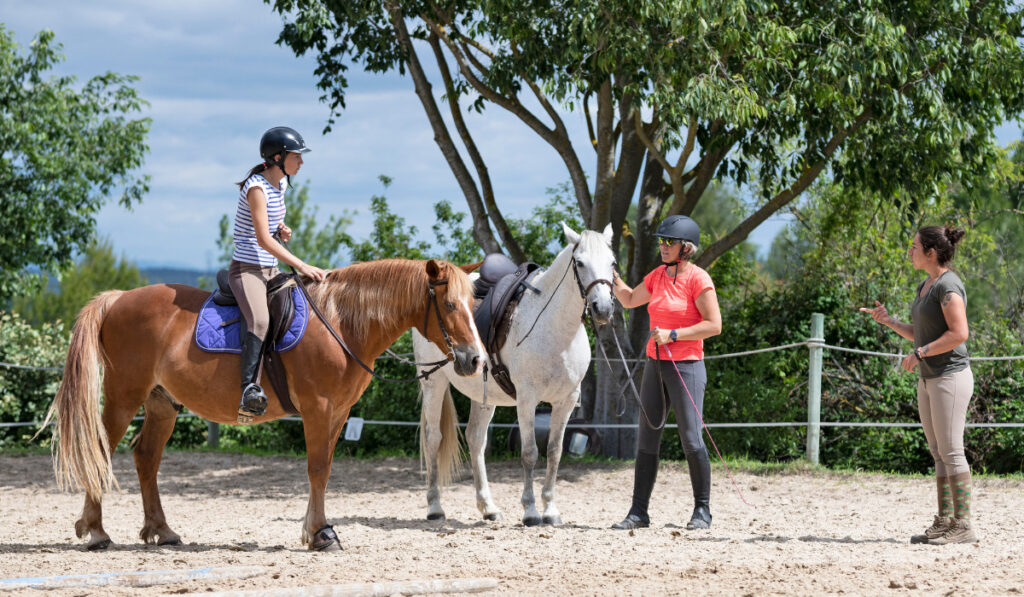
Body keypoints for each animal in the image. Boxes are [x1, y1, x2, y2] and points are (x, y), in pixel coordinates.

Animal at [41, 259, 481, 552]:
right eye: (450, 305)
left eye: (473, 305)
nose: (475, 360)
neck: (339, 322)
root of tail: (117, 300)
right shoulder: (319, 410)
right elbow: (317, 469)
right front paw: (321, 533)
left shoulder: (338, 414)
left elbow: (324, 469)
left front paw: (312, 529)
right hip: (123, 396)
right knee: (101, 452)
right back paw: (96, 531)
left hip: (162, 403)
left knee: (146, 457)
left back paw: (161, 531)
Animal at [409, 222, 614, 524]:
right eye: (579, 262)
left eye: (612, 263)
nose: (603, 308)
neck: (555, 329)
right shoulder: (527, 399)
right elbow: (530, 452)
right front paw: (530, 511)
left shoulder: (565, 401)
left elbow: (554, 452)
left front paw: (550, 510)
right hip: (433, 383)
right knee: (434, 437)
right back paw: (435, 508)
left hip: (483, 396)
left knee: (475, 439)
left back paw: (488, 507)